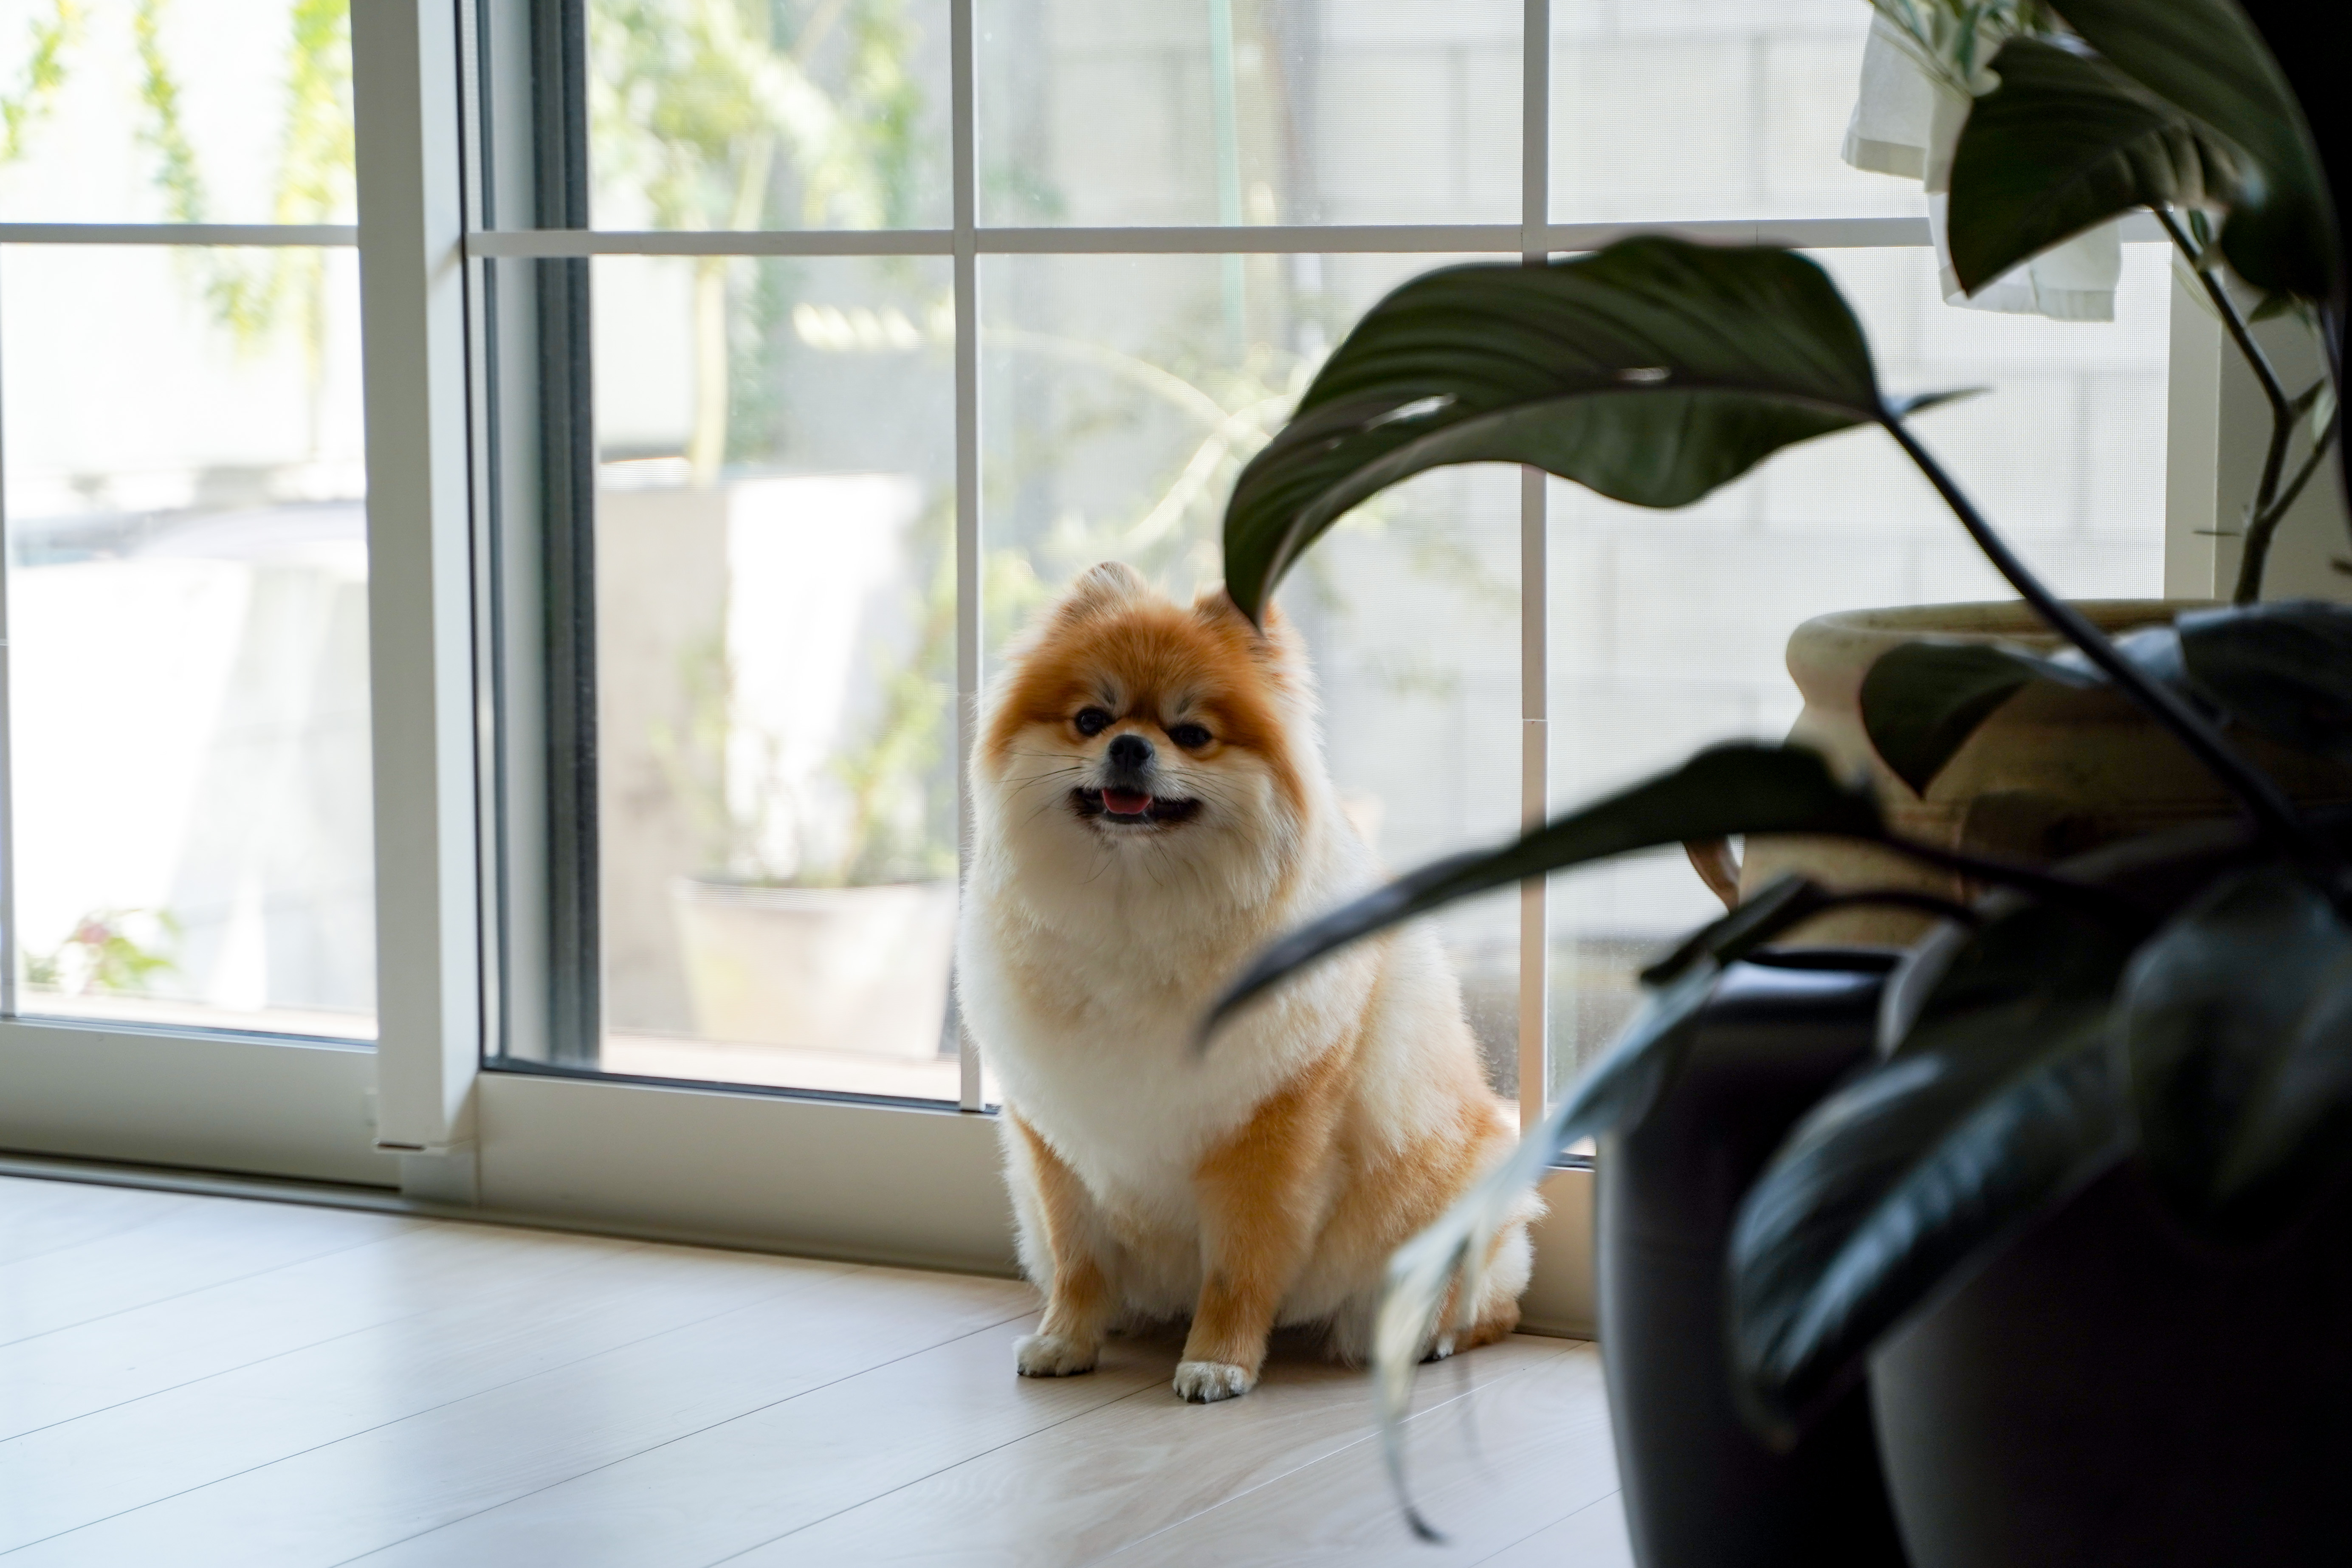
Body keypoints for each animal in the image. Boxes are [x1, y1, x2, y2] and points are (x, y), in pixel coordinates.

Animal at [955, 566, 1543, 1410]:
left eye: (1192, 733)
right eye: (1091, 719)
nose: (1128, 745)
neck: (1139, 916)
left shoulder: (1267, 1131)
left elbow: (1239, 1266)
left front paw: (1218, 1361)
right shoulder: (1059, 1144)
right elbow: (1079, 1260)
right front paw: (1066, 1338)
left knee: (1493, 1308)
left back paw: (1429, 1338)